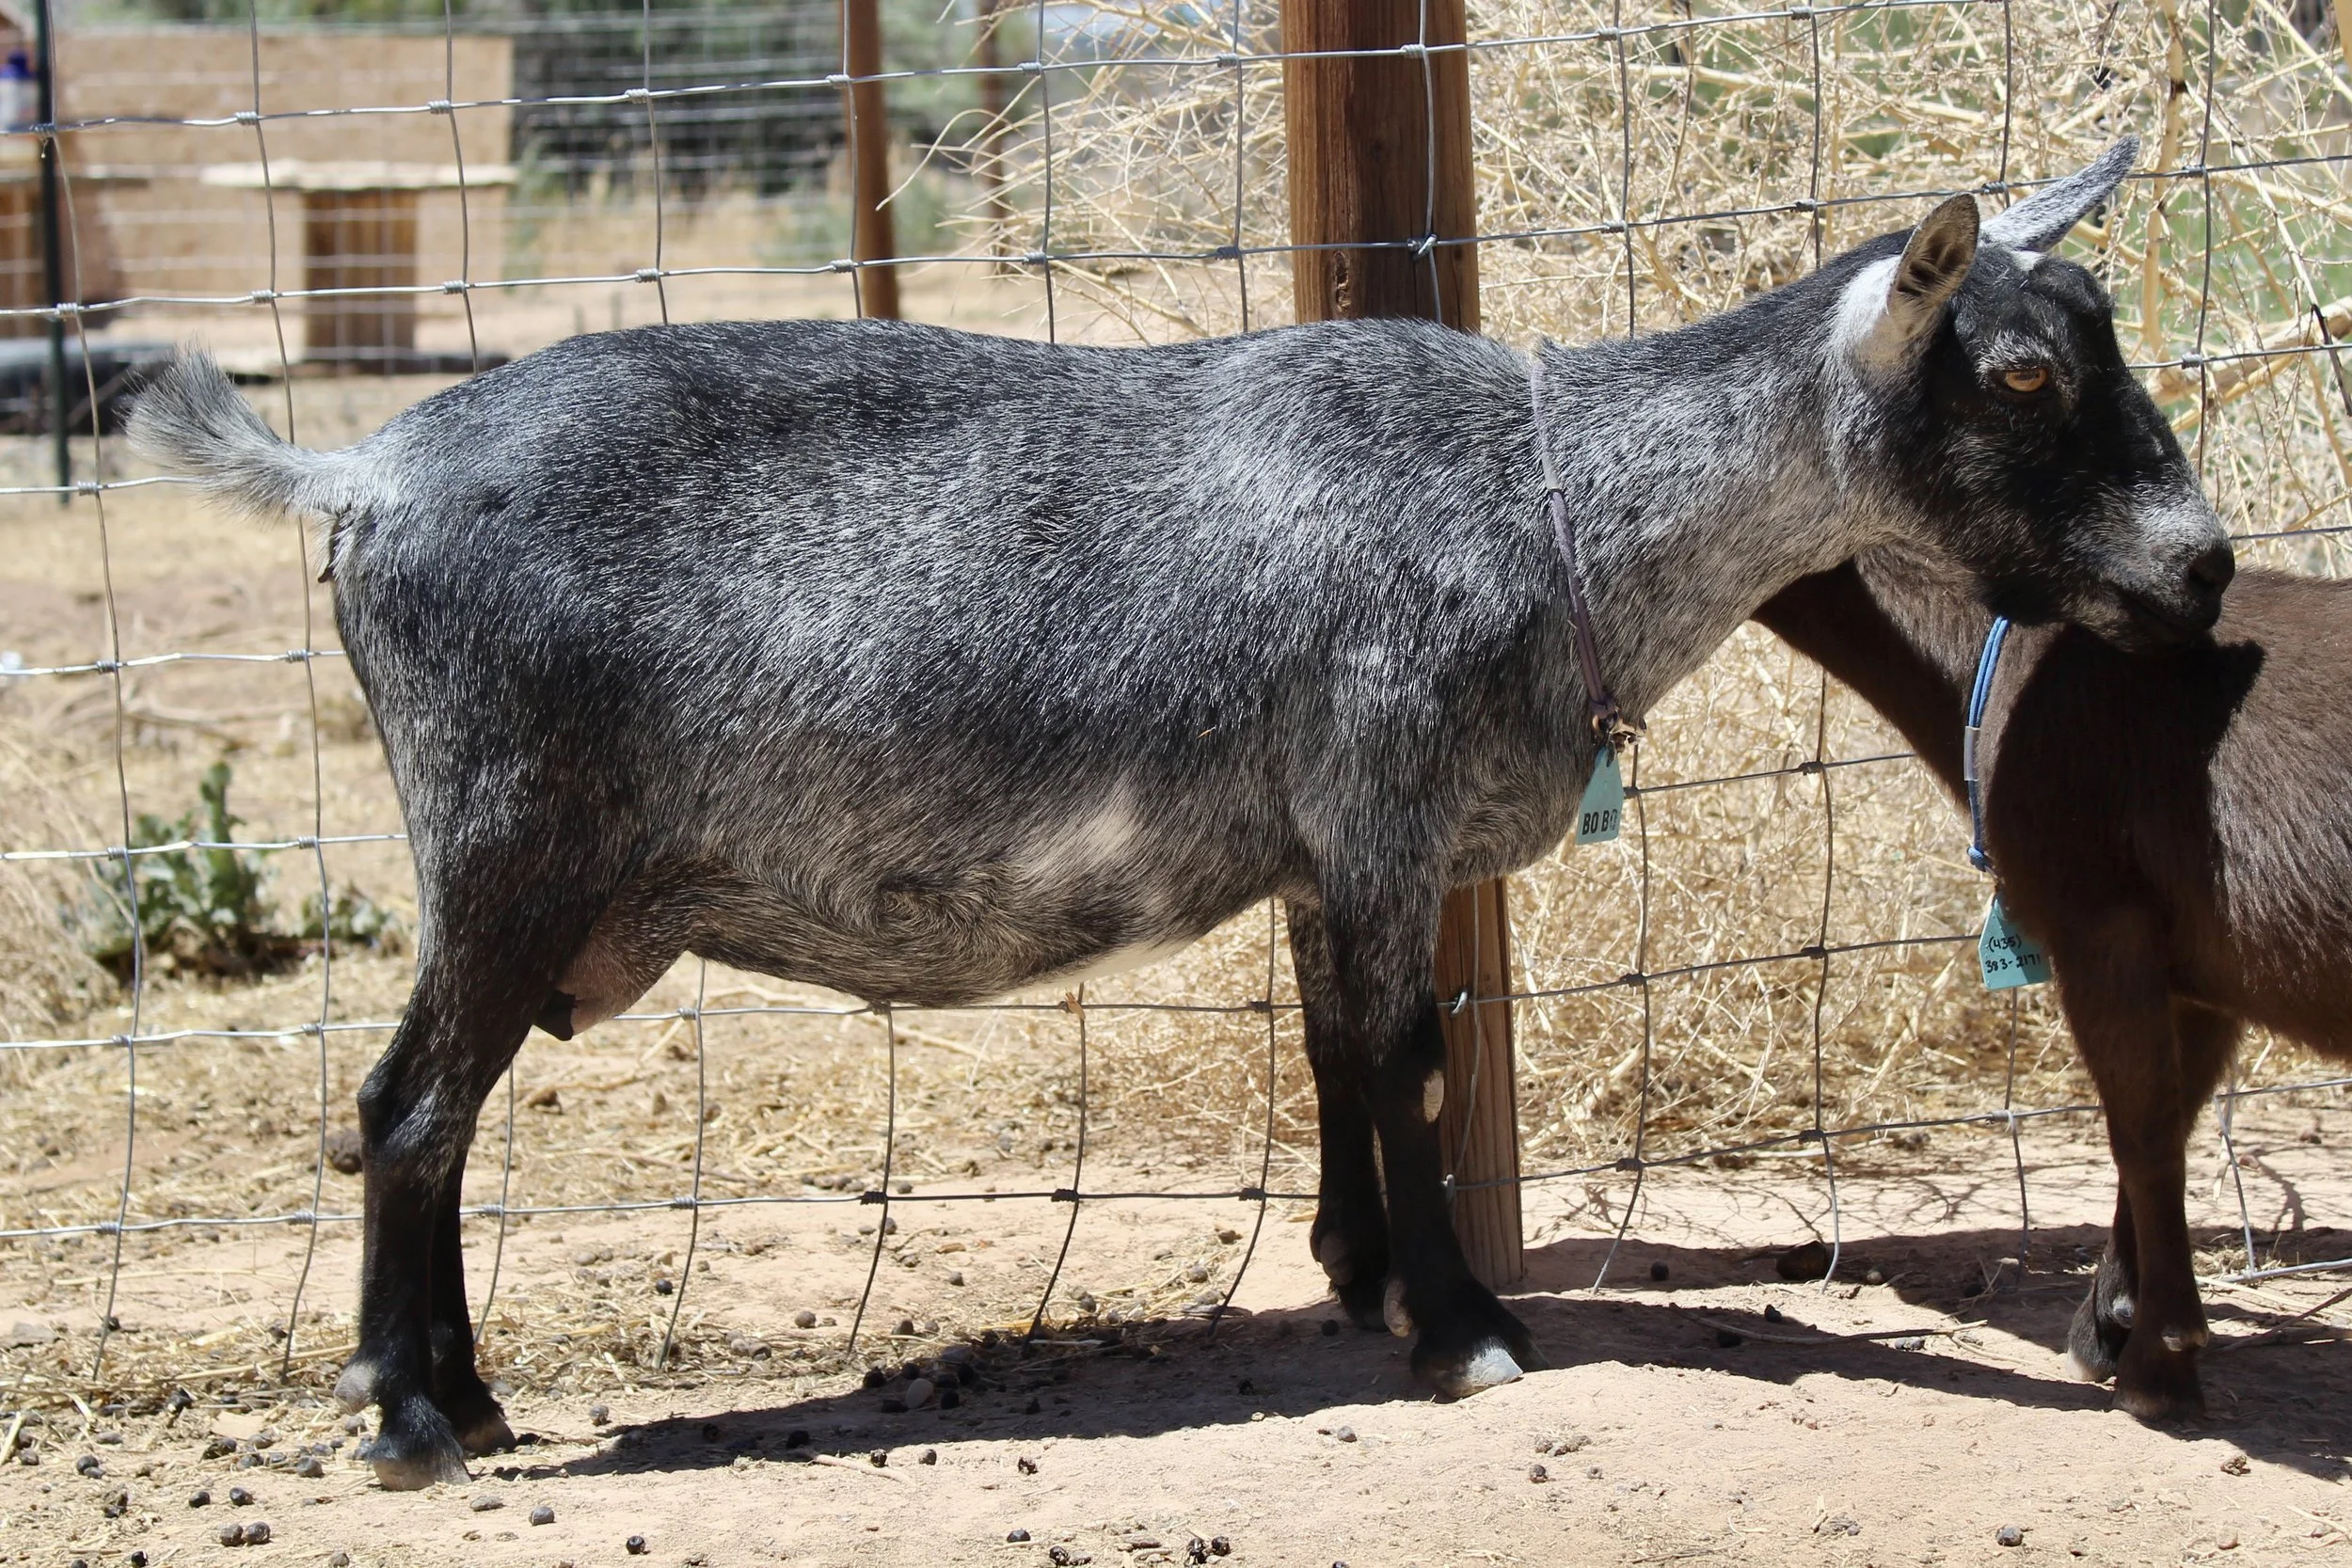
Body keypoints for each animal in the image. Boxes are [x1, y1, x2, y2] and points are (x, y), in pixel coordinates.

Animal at [128, 140, 2228, 1487]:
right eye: (2020, 372)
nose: (2201, 564)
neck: (1551, 499)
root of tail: (366, 471)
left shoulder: (1324, 843)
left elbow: (1332, 1051)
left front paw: (1358, 1270)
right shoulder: (1380, 798)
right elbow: (1409, 1055)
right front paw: (1464, 1327)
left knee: (427, 1115)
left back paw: (457, 1395)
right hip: (504, 840)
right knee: (404, 1109)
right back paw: (417, 1421)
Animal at [1757, 550, 2348, 1421]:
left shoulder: (2101, 920)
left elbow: (2141, 1133)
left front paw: (2158, 1362)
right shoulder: (2199, 972)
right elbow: (2169, 1118)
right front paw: (2110, 1322)